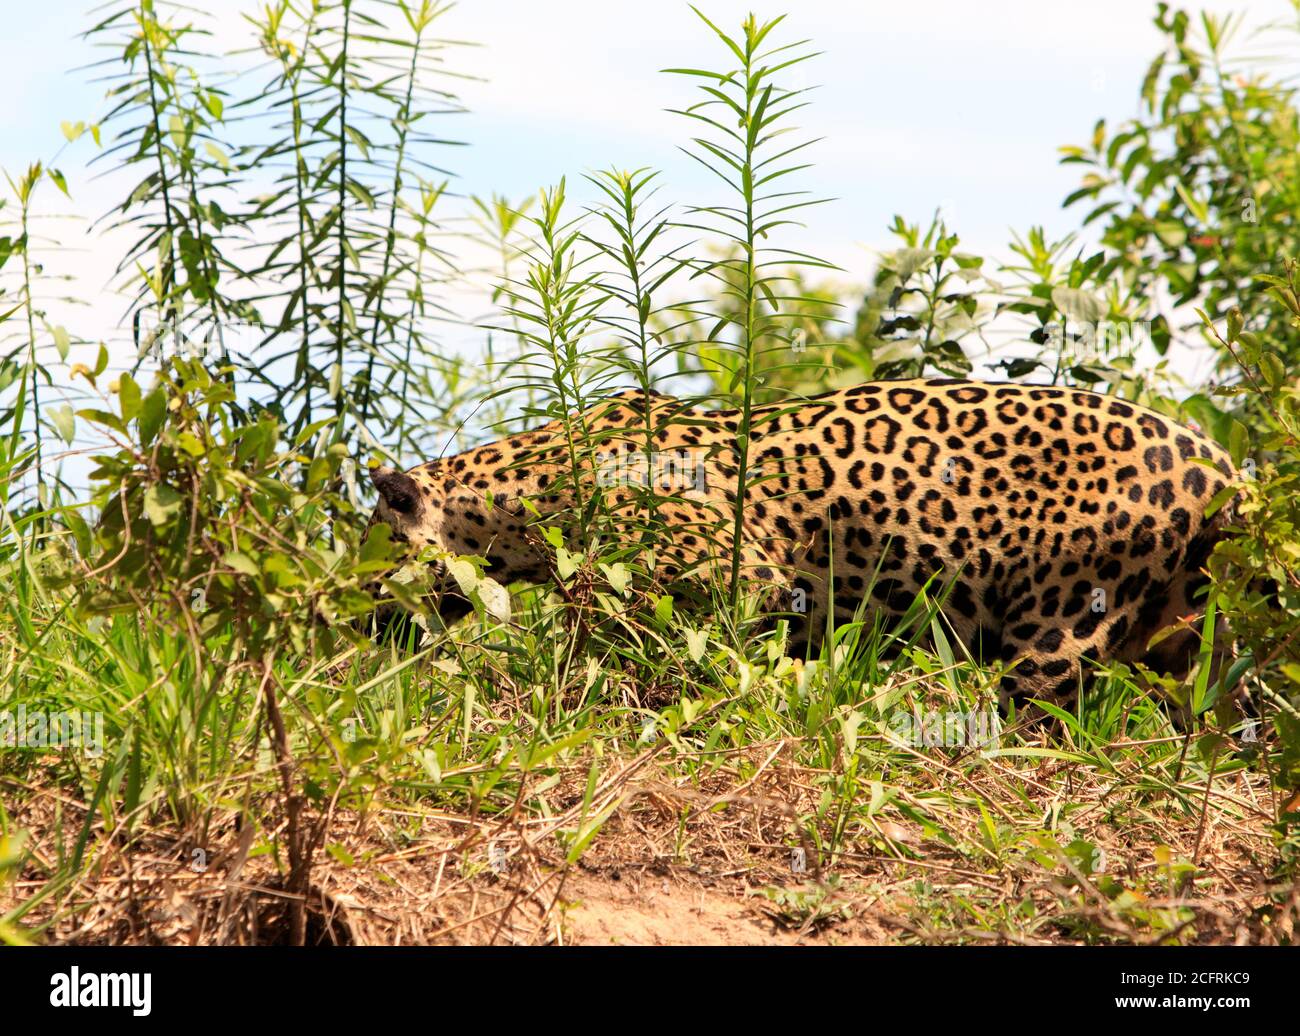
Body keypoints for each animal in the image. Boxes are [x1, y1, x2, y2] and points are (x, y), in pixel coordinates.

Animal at [366, 378, 1240, 712]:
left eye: (369, 567)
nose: (361, 625)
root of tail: (1223, 465)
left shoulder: (728, 572)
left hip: (1064, 624)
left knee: (1038, 711)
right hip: (1180, 638)